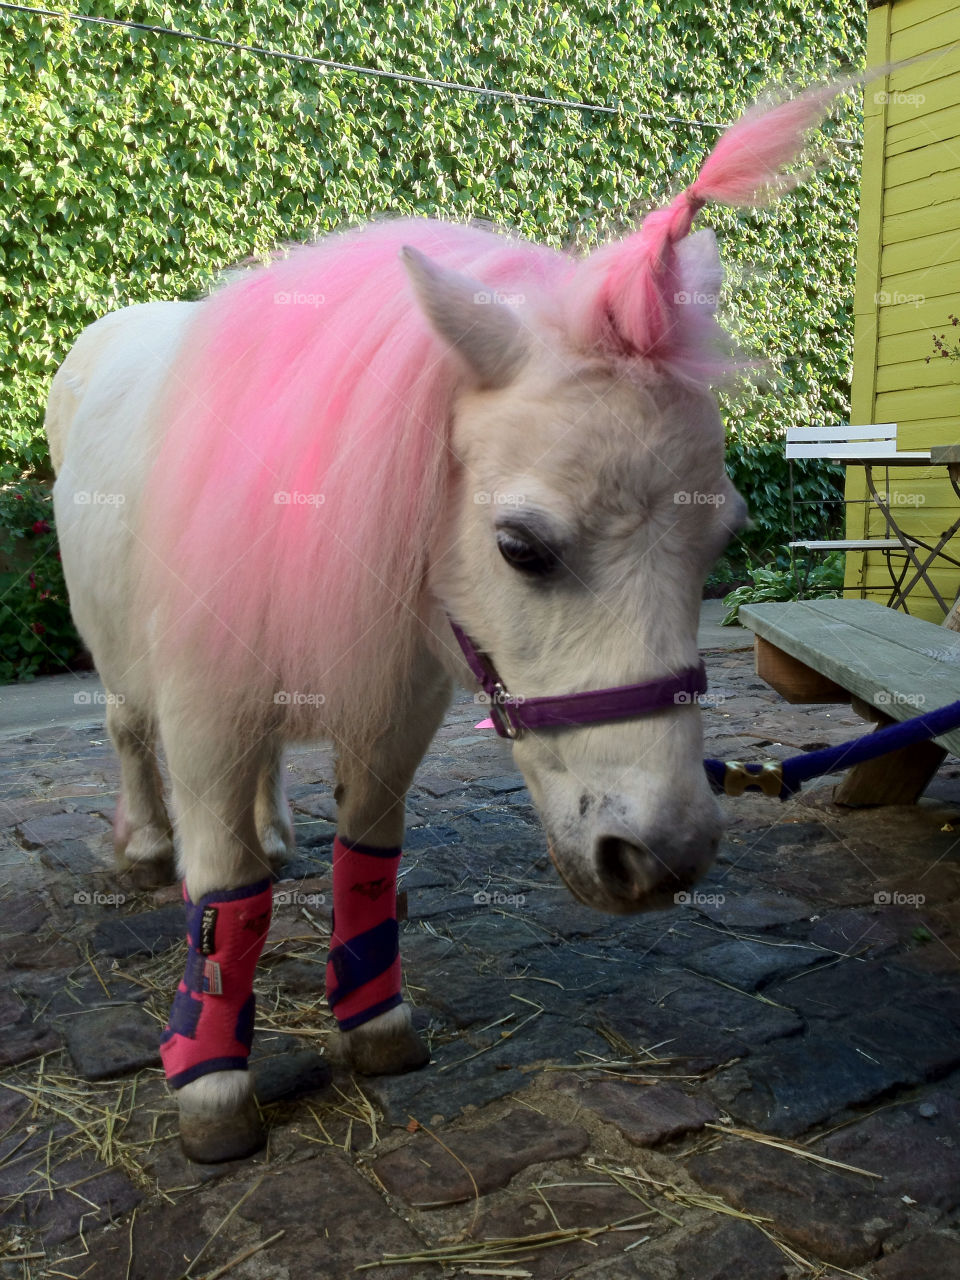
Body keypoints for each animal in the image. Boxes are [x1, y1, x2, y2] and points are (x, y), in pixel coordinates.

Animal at [47, 83, 841, 1162]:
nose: (661, 856)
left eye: (720, 541)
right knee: (129, 734)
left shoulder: (392, 702)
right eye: (521, 546)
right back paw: (142, 846)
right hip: (123, 653)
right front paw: (211, 1083)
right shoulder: (207, 703)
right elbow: (224, 886)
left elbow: (367, 856)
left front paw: (375, 1022)